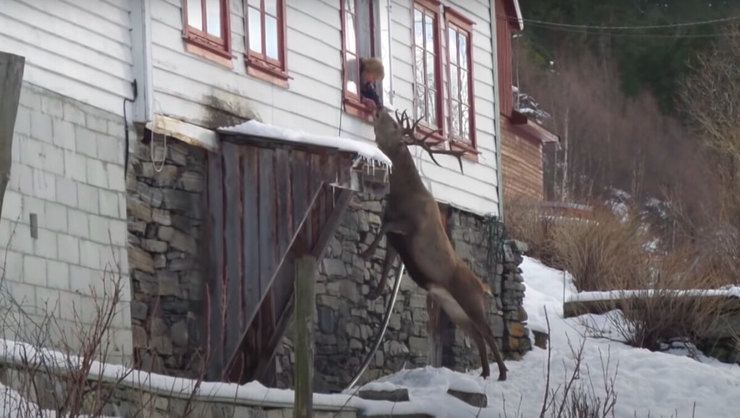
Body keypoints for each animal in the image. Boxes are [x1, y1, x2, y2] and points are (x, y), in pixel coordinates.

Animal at [364, 108, 508, 382]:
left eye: (395, 125)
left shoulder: (411, 228)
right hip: (455, 310)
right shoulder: (395, 238)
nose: (379, 109)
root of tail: (483, 286)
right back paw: (485, 373)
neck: (401, 196)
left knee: (487, 332)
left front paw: (366, 252)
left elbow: (384, 229)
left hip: (471, 302)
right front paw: (374, 292)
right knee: (476, 335)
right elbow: (385, 254)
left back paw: (502, 373)